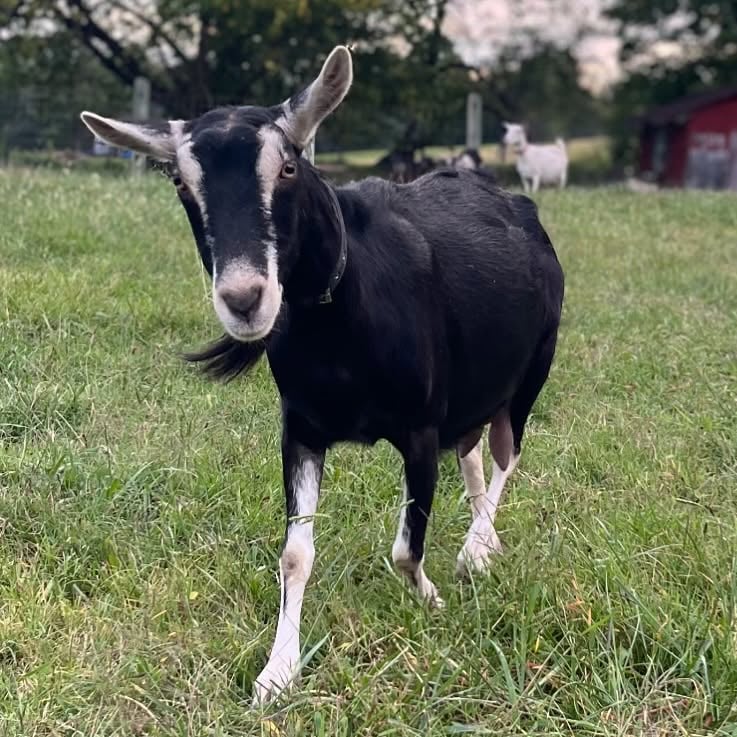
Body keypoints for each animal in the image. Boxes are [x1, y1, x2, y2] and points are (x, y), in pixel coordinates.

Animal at [80, 46, 564, 706]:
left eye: (288, 166)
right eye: (181, 181)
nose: (244, 299)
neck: (341, 322)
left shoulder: (419, 428)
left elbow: (406, 547)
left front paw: (434, 599)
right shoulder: (302, 430)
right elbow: (294, 554)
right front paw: (277, 673)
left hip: (532, 369)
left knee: (506, 453)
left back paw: (476, 550)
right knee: (471, 454)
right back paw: (481, 540)